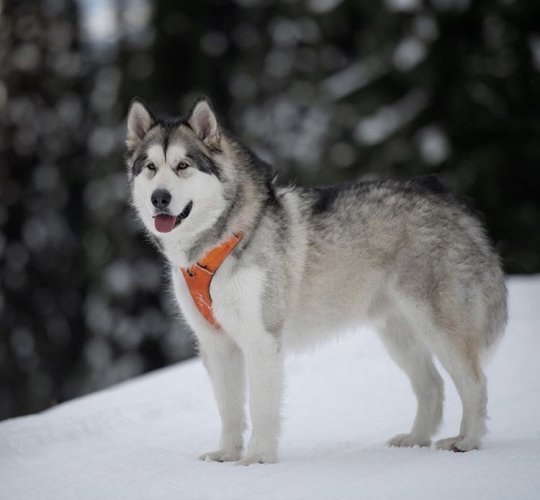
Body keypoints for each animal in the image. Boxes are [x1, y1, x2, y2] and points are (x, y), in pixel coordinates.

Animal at [125, 94, 506, 464]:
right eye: (151, 167)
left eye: (183, 166)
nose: (160, 198)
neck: (219, 241)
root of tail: (450, 199)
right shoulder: (216, 345)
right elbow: (229, 410)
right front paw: (227, 455)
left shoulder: (261, 339)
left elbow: (261, 408)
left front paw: (256, 459)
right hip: (398, 333)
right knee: (432, 385)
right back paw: (416, 438)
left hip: (441, 327)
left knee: (476, 383)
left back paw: (466, 441)